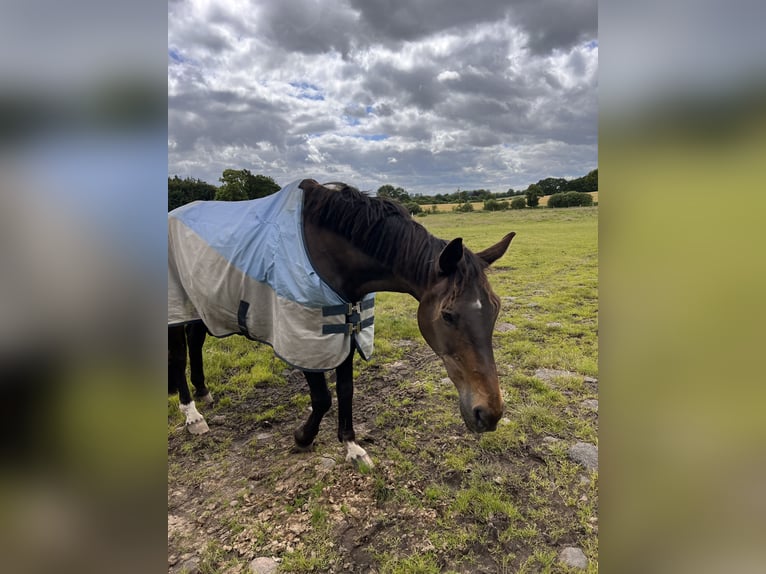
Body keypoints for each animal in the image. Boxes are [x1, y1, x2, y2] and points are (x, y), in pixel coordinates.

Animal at [168, 179, 516, 468]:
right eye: (447, 314)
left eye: (495, 310)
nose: (489, 414)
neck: (329, 251)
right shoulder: (305, 334)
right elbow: (323, 398)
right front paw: (302, 438)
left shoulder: (348, 325)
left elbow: (346, 390)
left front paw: (351, 447)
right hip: (176, 304)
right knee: (179, 353)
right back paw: (191, 414)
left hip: (201, 304)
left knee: (194, 342)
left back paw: (202, 391)